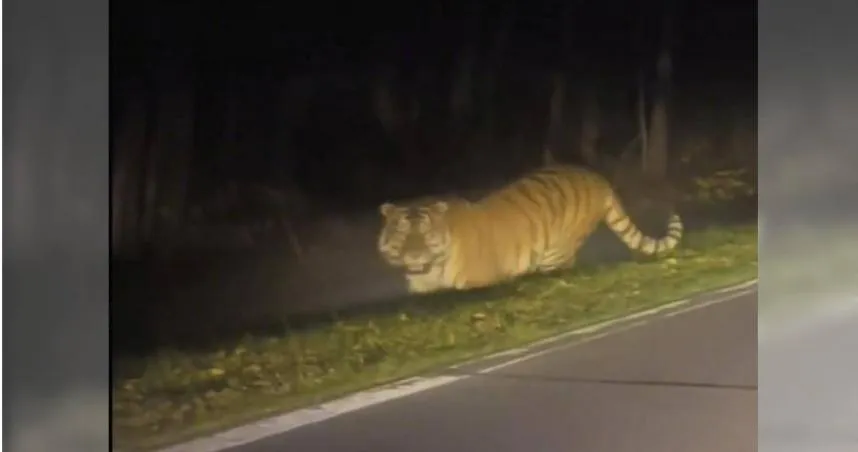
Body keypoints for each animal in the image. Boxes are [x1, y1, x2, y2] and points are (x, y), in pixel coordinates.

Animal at [377, 164, 684, 294]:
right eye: (402, 234)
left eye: (426, 235)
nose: (414, 257)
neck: (433, 269)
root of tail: (596, 176)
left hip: (555, 254)